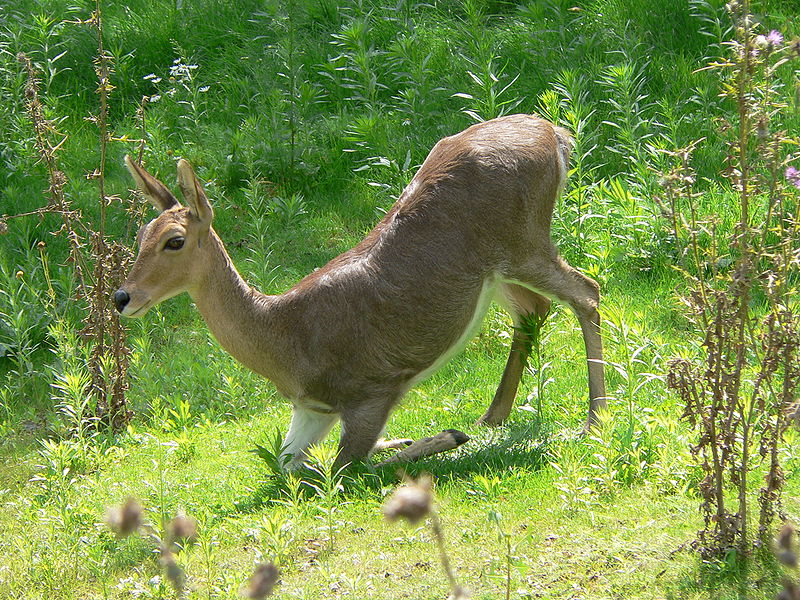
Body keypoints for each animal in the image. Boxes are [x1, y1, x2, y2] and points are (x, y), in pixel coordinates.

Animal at [114, 112, 608, 468]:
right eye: (140, 234)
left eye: (174, 240)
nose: (122, 297)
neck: (285, 341)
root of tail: (554, 135)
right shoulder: (313, 409)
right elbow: (287, 464)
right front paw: (412, 437)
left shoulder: (370, 390)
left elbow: (347, 466)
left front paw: (442, 437)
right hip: (494, 272)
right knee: (535, 308)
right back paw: (494, 415)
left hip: (524, 240)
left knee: (587, 290)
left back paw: (594, 419)